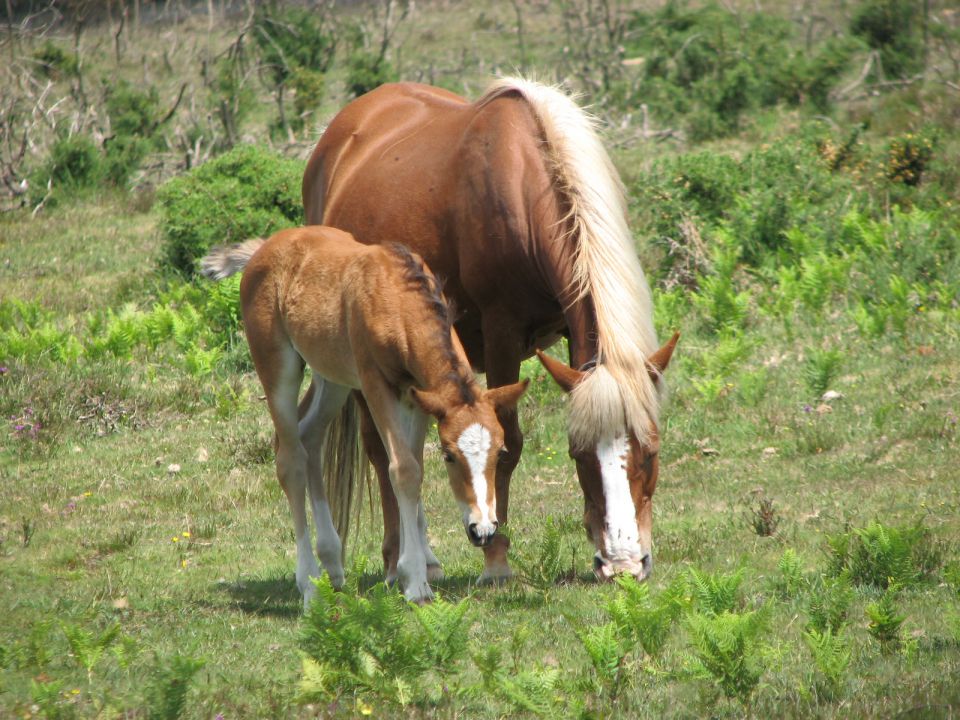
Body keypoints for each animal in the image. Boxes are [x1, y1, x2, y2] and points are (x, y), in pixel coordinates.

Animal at [202, 228, 528, 604]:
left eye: (500, 452)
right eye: (449, 456)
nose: (483, 530)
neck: (397, 299)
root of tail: (263, 248)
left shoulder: (418, 394)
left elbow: (414, 466)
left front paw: (423, 568)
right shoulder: (375, 384)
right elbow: (403, 469)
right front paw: (415, 582)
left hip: (332, 376)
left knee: (310, 437)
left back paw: (332, 564)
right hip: (277, 365)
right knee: (290, 459)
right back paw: (309, 585)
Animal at [304, 77, 680, 584]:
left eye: (652, 452)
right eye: (579, 456)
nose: (622, 565)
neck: (524, 187)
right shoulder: (503, 332)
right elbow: (509, 442)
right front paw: (496, 561)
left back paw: (426, 559)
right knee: (382, 451)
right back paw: (395, 560)